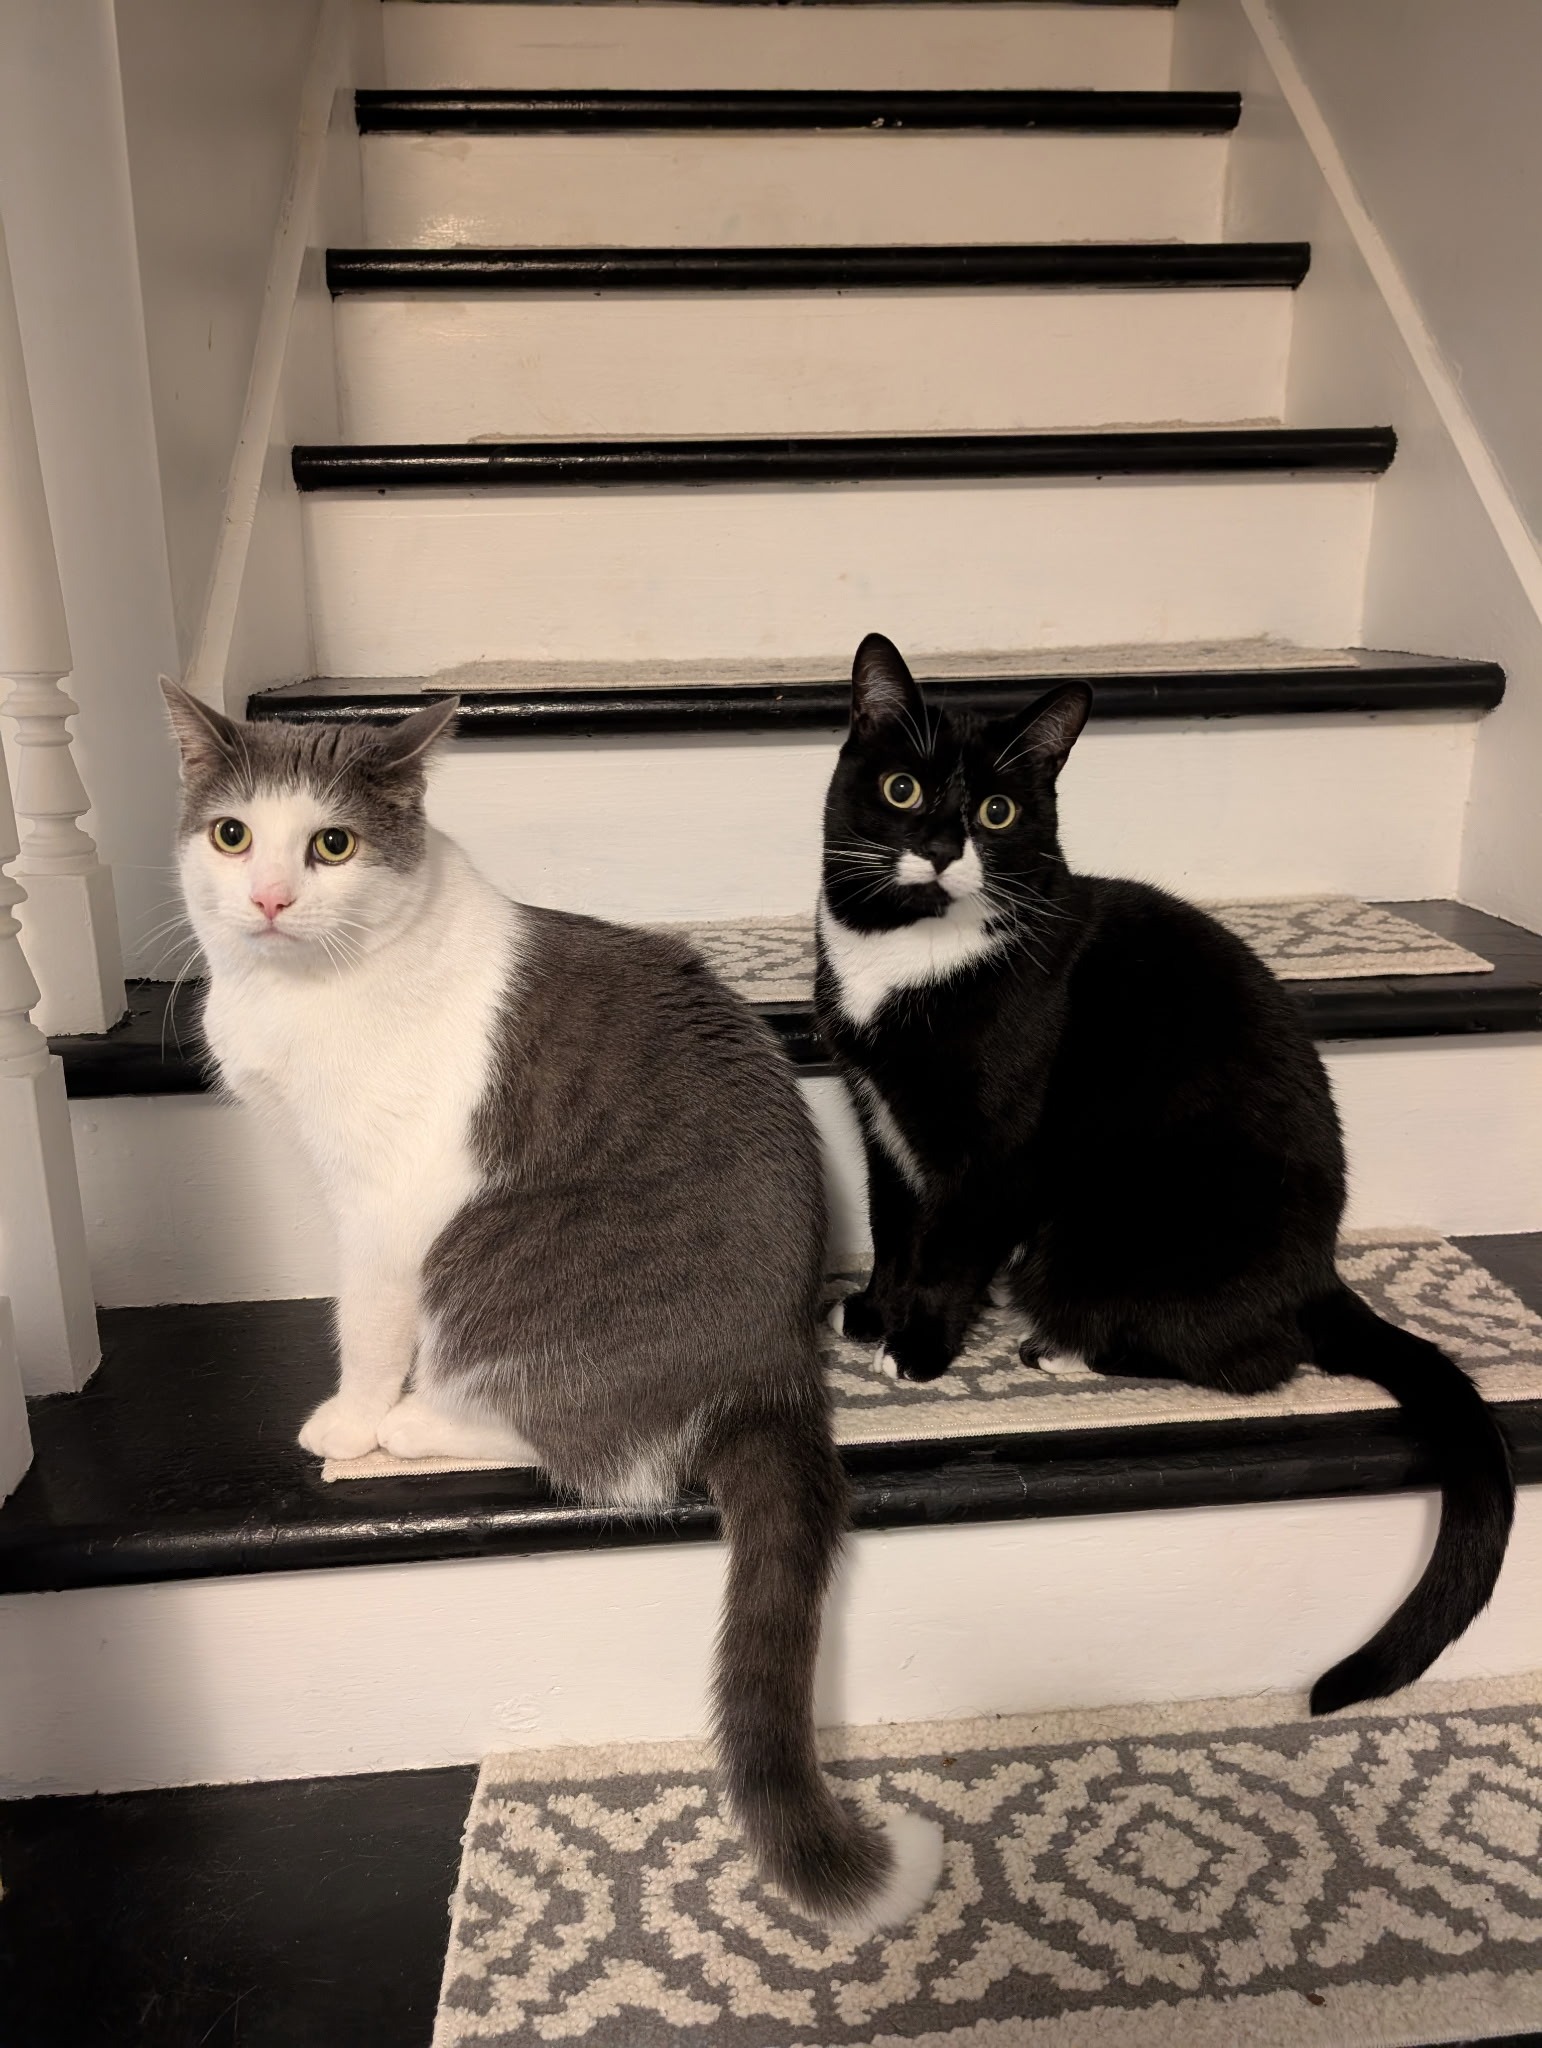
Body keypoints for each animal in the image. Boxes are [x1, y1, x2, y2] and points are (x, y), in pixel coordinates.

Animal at [160, 681, 942, 1931]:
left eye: (331, 843)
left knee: (585, 1447)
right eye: (233, 834)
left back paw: (413, 1425)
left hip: (487, 1254)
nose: (271, 897)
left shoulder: (387, 1204)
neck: (302, 991)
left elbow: (364, 1319)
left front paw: (350, 1417)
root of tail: (772, 1364)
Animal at [814, 632, 1514, 1717]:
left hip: (1096, 1240)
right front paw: (876, 1311)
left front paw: (919, 1345)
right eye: (901, 787)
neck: (909, 956)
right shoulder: (874, 1111)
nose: (938, 845)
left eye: (997, 813)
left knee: (1259, 1361)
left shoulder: (998, 1140)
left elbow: (952, 1241)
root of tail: (1321, 1272)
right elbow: (896, 1221)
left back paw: (1067, 1349)